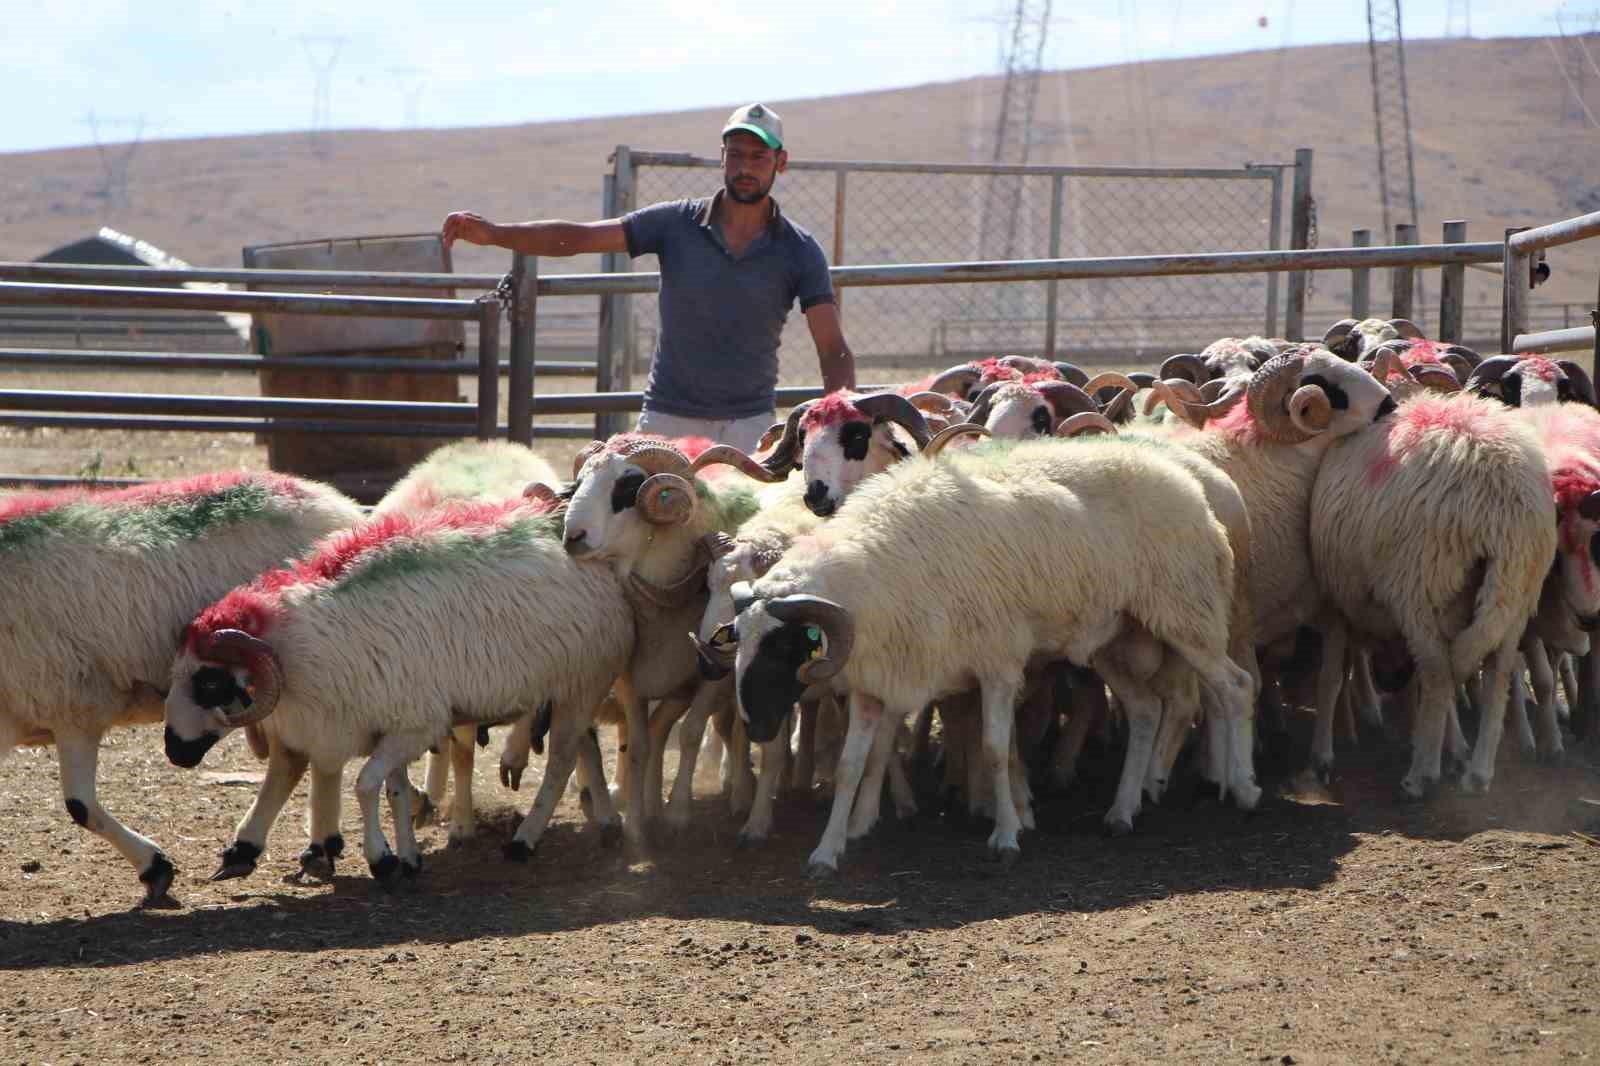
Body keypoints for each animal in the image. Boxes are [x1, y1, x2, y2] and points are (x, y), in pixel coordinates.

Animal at [0, 473, 363, 896]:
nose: (177, 752)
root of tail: (337, 503)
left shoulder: (73, 708)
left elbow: (81, 806)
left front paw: (155, 868)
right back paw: (316, 848)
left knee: (295, 757)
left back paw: (267, 849)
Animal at [162, 499, 636, 877]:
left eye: (210, 680)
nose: (172, 749)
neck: (301, 645)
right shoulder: (391, 725)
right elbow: (395, 791)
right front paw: (408, 859)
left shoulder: (416, 726)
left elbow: (365, 785)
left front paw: (383, 860)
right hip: (568, 690)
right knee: (585, 745)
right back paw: (606, 823)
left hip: (582, 682)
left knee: (559, 763)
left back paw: (524, 839)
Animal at [720, 432, 1254, 870]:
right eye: (740, 639)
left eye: (786, 646)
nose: (756, 727)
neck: (878, 572)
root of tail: (1188, 482)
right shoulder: (877, 679)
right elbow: (853, 767)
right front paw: (826, 852)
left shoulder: (999, 663)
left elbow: (995, 749)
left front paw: (1007, 835)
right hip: (1114, 639)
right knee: (1144, 710)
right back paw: (1122, 812)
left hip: (1188, 614)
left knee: (1235, 687)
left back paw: (1242, 788)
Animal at [1305, 393, 1555, 793]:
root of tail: (1503, 508)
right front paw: (1448, 744)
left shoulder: (1335, 601)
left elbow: (1330, 679)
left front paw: (1322, 755)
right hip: (1515, 592)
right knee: (1496, 673)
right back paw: (1477, 772)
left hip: (1421, 586)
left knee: (1439, 671)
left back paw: (1420, 775)